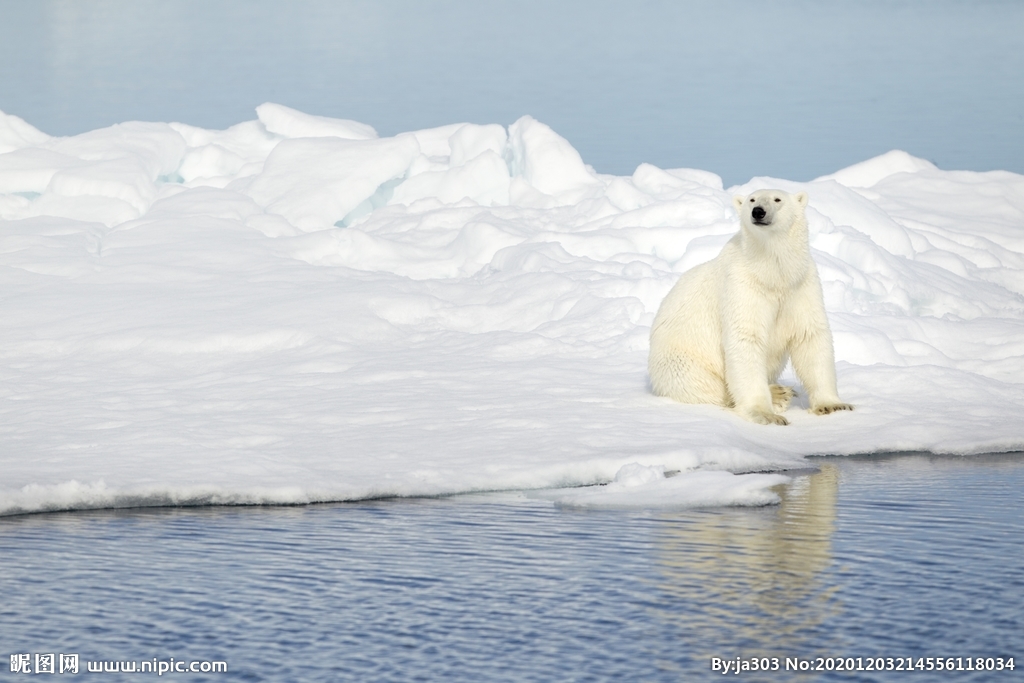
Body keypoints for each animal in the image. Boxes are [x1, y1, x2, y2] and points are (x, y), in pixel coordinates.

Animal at [647, 187, 856, 421]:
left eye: (777, 199)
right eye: (752, 199)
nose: (758, 212)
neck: (772, 273)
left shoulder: (801, 284)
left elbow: (810, 336)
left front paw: (833, 405)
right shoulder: (743, 284)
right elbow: (746, 338)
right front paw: (766, 414)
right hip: (681, 361)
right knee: (704, 385)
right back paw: (778, 394)